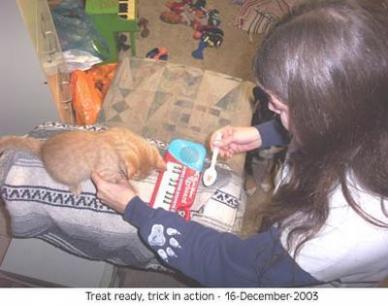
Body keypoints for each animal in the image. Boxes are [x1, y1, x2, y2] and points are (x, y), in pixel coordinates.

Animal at [0, 127, 165, 194]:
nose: (135, 180)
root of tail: (43, 147)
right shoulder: (105, 172)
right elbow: (118, 178)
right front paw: (132, 188)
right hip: (69, 176)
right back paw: (76, 188)